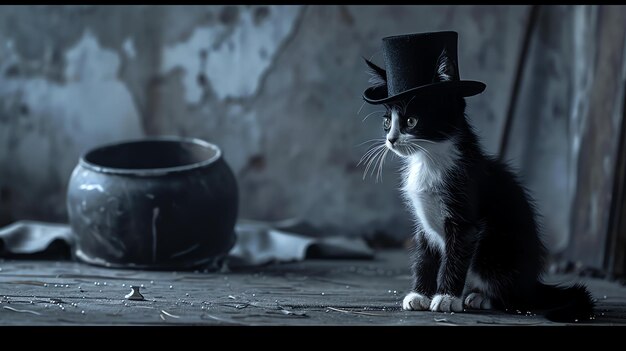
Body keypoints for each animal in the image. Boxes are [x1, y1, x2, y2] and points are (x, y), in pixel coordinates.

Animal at [364, 56, 592, 324]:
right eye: (387, 122)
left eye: (411, 121)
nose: (391, 140)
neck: (430, 159)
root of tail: (532, 284)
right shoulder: (422, 222)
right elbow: (424, 255)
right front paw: (420, 295)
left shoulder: (464, 216)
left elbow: (455, 256)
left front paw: (446, 298)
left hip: (497, 253)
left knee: (514, 298)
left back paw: (483, 297)